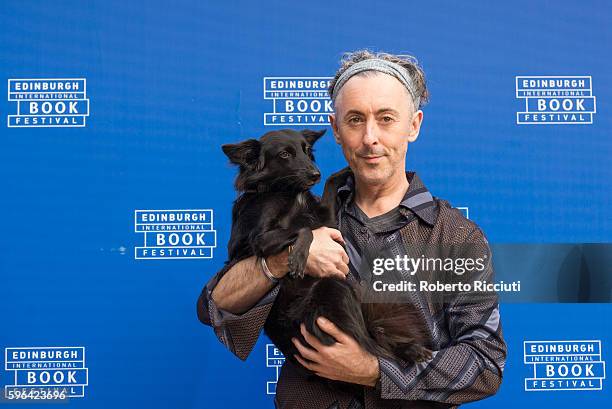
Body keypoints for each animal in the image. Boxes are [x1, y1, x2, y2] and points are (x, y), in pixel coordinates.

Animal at [221, 129, 430, 388]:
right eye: (284, 154)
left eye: (307, 151)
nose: (315, 174)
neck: (288, 192)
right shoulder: (259, 238)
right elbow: (304, 230)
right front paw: (299, 257)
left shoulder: (329, 223)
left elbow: (328, 190)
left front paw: (345, 171)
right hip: (331, 287)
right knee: (370, 343)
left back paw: (410, 349)